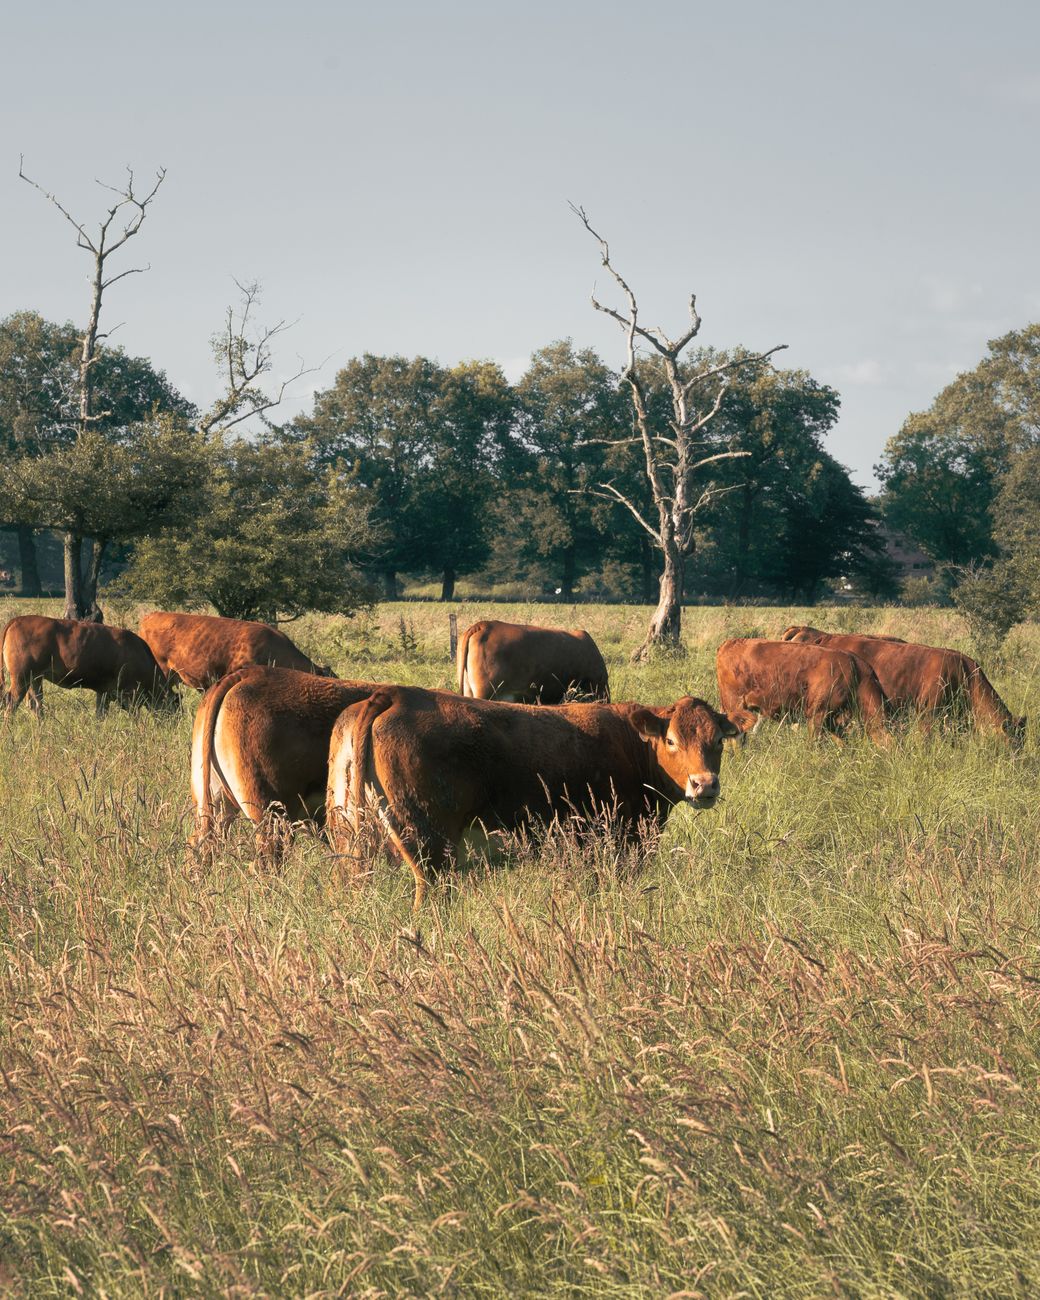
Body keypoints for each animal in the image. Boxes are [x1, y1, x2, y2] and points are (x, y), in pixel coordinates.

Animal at [1, 615, 175, 718]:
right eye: (175, 706)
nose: (173, 723)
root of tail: (18, 619)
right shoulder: (128, 693)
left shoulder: (103, 692)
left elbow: (100, 713)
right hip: (21, 678)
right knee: (12, 701)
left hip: (35, 678)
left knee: (36, 703)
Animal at [327, 686, 754, 910]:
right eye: (672, 740)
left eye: (718, 741)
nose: (704, 784)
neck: (632, 744)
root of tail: (394, 694)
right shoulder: (617, 843)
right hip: (430, 844)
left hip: (349, 837)